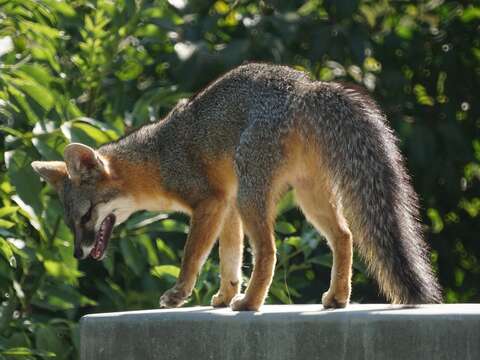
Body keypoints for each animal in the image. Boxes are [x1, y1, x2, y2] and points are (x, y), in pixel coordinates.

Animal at [31, 63, 442, 310]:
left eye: (86, 217)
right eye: (70, 223)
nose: (78, 254)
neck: (156, 157)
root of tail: (306, 87)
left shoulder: (211, 203)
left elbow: (192, 256)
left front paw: (181, 294)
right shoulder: (225, 207)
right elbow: (229, 258)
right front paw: (224, 294)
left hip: (252, 195)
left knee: (270, 251)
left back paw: (250, 304)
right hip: (303, 198)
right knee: (344, 236)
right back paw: (336, 297)